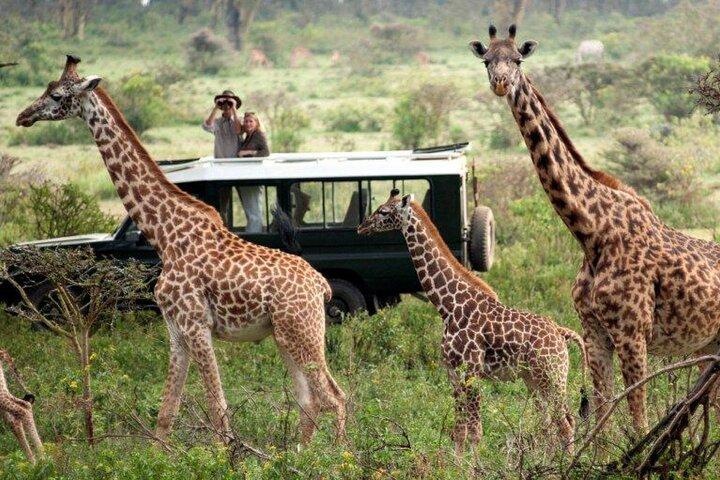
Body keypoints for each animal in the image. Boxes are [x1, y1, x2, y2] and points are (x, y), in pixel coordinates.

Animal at [15, 56, 346, 445]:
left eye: (55, 95)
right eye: (47, 88)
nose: (22, 116)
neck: (165, 237)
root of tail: (320, 286)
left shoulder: (196, 324)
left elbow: (218, 411)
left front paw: (228, 455)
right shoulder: (175, 330)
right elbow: (165, 415)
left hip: (303, 330)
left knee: (335, 397)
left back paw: (340, 456)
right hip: (284, 335)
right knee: (309, 399)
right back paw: (297, 452)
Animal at [358, 189, 588, 455]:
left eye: (384, 211)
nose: (361, 227)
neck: (448, 306)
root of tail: (561, 332)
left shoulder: (472, 370)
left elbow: (476, 431)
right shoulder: (452, 371)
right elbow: (459, 431)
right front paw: (456, 464)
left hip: (552, 376)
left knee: (565, 423)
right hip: (533, 379)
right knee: (551, 423)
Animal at [469, 25, 720, 435]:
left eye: (518, 60)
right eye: (487, 60)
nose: (501, 83)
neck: (591, 232)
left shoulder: (633, 334)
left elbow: (637, 419)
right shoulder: (594, 334)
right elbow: (601, 420)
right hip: (709, 343)